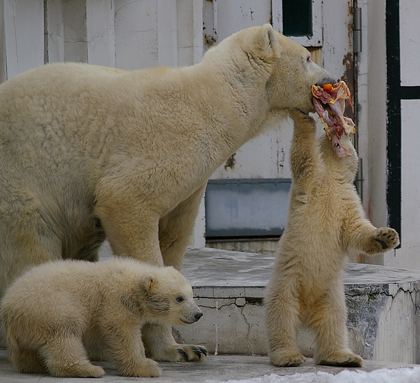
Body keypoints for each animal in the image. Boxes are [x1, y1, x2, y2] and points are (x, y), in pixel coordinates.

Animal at [0, 24, 338, 364]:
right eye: (307, 57)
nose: (332, 79)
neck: (213, 102)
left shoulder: (192, 183)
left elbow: (174, 236)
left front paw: (185, 348)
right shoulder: (164, 147)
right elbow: (127, 202)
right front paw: (169, 344)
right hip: (25, 181)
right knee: (32, 246)